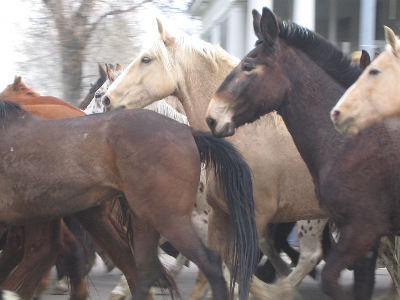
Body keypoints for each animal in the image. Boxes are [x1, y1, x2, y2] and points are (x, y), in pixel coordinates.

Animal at [205, 7, 400, 300]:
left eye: (248, 66)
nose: (212, 117)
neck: (349, 143)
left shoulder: (363, 229)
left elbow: (331, 279)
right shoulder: (365, 237)